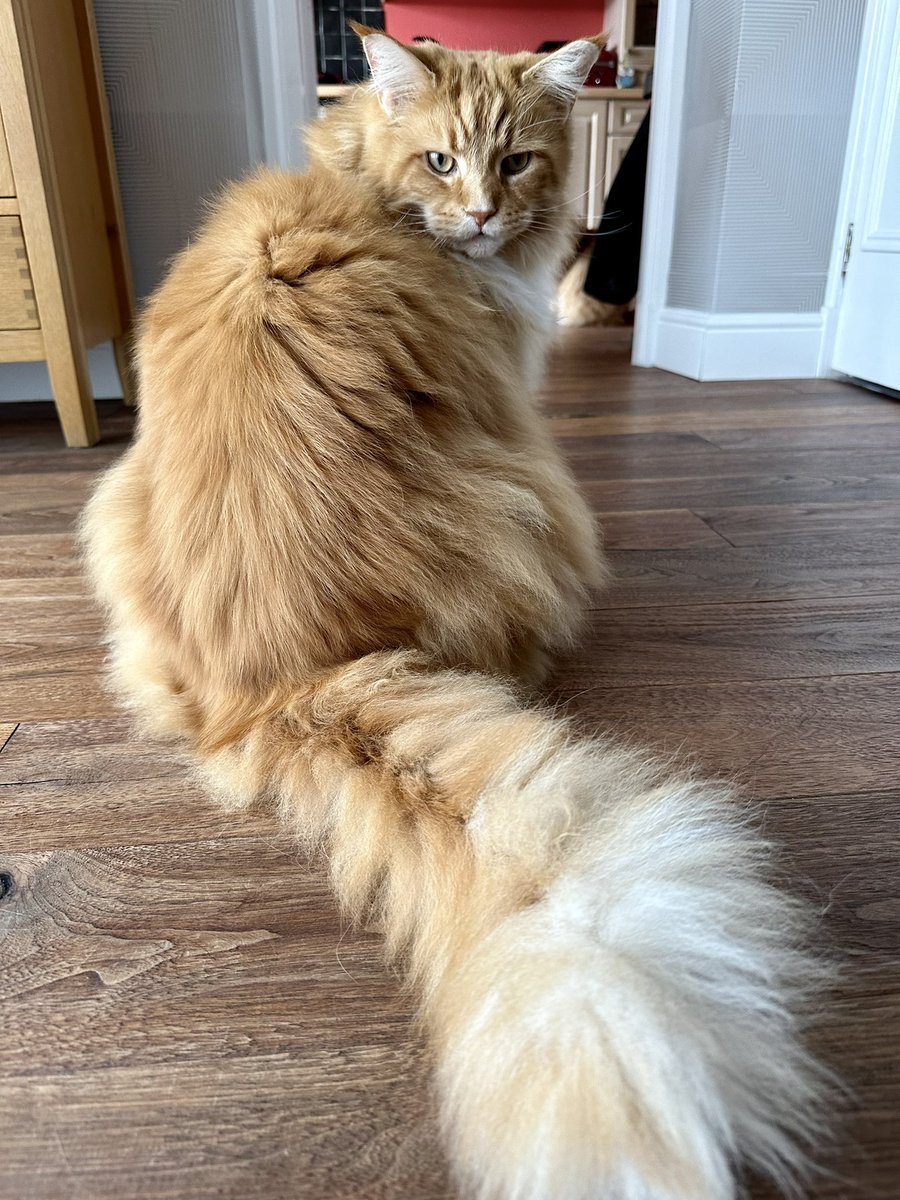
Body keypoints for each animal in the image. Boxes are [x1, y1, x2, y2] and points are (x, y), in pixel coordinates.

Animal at [81, 25, 830, 1200]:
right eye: (441, 163)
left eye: (516, 163)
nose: (480, 216)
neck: (358, 183)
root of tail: (281, 681)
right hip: (540, 495)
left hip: (111, 507)